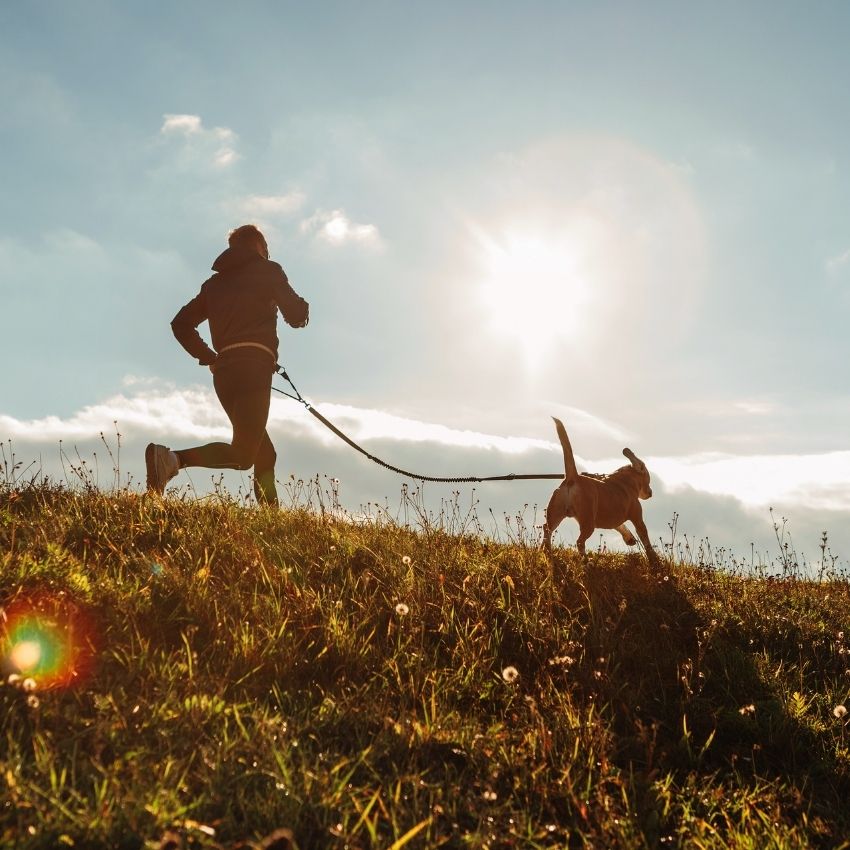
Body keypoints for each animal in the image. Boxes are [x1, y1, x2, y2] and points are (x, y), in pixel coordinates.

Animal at [544, 414, 656, 560]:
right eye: (648, 478)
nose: (651, 492)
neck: (626, 480)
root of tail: (572, 477)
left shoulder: (615, 518)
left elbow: (621, 526)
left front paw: (629, 538)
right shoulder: (637, 518)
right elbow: (645, 538)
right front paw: (653, 557)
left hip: (555, 513)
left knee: (546, 529)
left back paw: (545, 550)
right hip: (587, 522)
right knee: (579, 541)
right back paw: (585, 560)